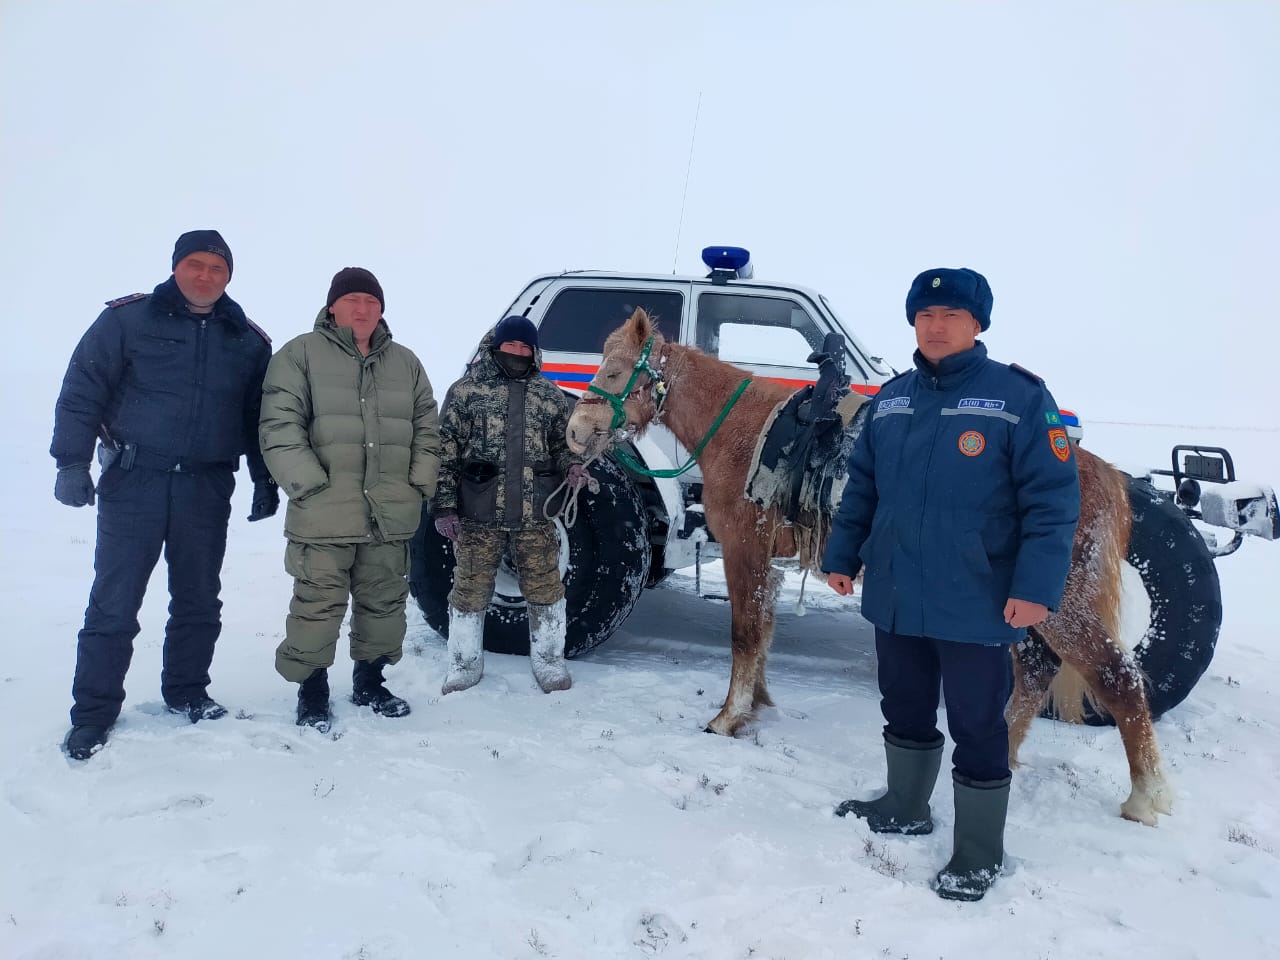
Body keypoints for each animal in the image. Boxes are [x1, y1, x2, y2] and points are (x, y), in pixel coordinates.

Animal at [568, 308, 1172, 829]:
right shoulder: (765, 561)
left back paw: (1145, 798)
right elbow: (762, 632)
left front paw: (728, 717)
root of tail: (1099, 472)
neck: (742, 432)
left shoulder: (744, 548)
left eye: (616, 370)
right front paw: (757, 704)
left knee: (1118, 680)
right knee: (1036, 676)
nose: (575, 430)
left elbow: (744, 635)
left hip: (1060, 607)